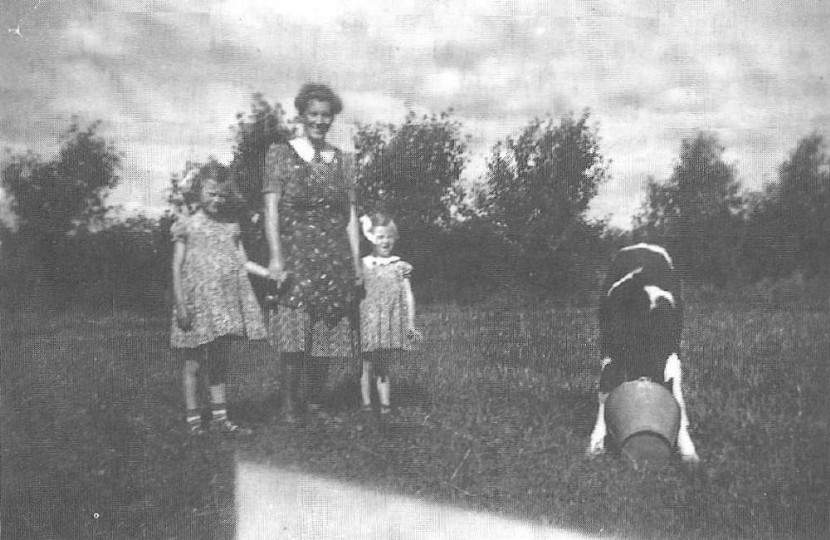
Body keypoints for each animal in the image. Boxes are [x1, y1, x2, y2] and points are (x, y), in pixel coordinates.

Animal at [588, 243, 700, 462]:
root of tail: (642, 245)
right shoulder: (610, 354)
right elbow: (604, 393)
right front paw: (595, 445)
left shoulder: (673, 355)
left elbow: (678, 398)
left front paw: (688, 450)